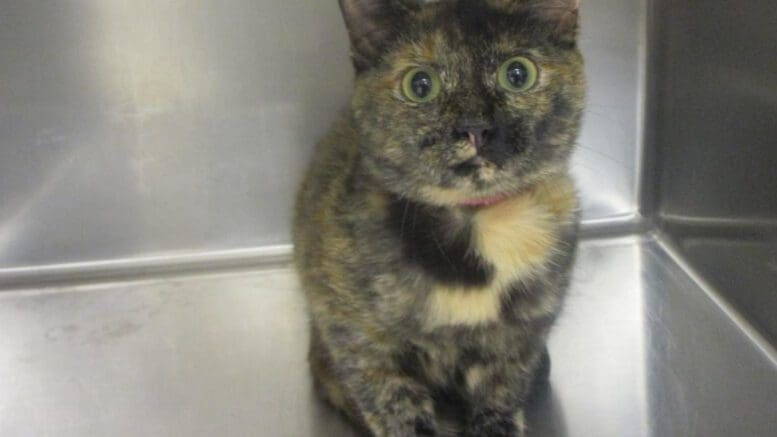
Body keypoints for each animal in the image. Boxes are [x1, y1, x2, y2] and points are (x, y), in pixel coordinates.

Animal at [292, 1, 584, 434]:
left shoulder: (518, 342)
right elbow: (395, 409)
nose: (475, 127)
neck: (478, 224)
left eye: (518, 74)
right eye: (420, 85)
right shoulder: (360, 342)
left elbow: (501, 396)